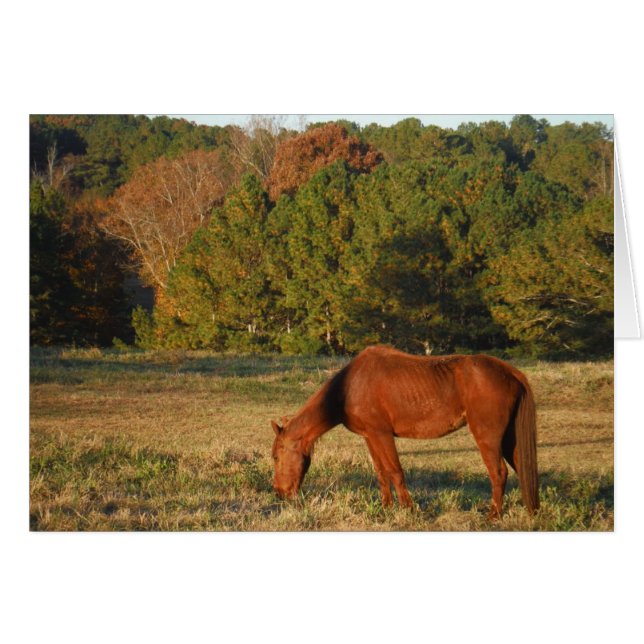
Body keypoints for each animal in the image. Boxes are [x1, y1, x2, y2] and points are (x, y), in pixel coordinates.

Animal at [271, 345, 539, 518]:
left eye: (275, 456)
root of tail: (510, 372)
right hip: (509, 439)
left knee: (499, 473)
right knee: (520, 467)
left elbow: (395, 472)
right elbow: (381, 473)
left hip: (488, 438)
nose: (280, 493)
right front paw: (386, 508)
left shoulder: (382, 435)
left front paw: (408, 510)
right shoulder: (370, 437)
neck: (350, 386)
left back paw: (493, 515)